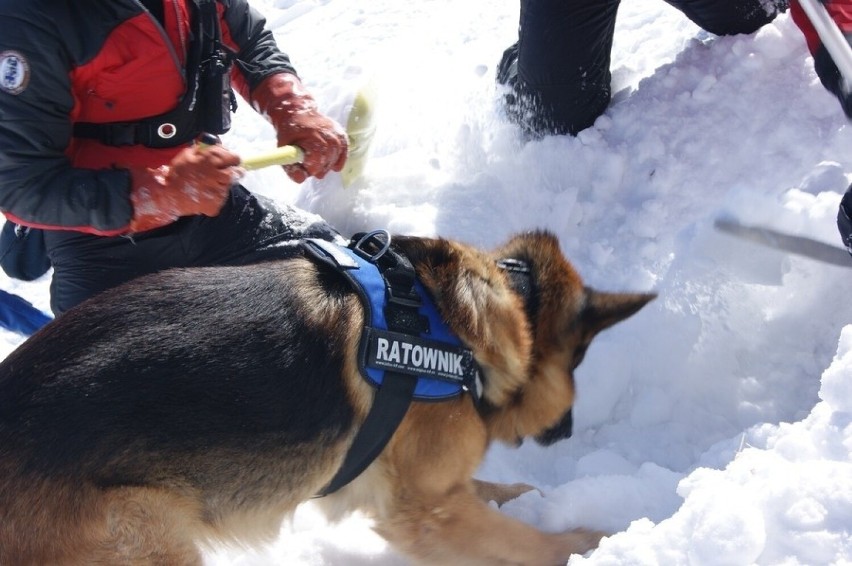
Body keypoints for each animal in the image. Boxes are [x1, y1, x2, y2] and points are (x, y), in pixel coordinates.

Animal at [0, 231, 652, 566]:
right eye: (578, 361)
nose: (567, 432)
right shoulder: (426, 515)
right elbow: (529, 544)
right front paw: (593, 543)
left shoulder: (430, 490)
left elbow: (491, 493)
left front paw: (524, 495)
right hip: (145, 531)